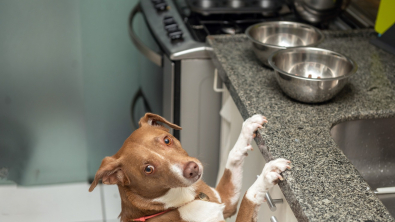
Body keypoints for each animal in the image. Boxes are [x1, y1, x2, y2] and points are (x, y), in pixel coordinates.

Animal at [91, 113, 292, 221]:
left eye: (167, 140)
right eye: (148, 169)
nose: (192, 169)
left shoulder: (225, 201)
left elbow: (232, 158)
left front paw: (247, 128)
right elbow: (249, 197)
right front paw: (267, 174)